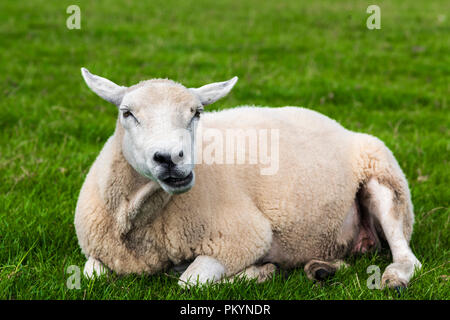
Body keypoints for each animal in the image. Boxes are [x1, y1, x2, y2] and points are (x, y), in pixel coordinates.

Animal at [74, 68, 422, 290]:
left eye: (196, 113)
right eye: (127, 113)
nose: (171, 158)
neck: (141, 218)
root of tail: (340, 126)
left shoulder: (241, 237)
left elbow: (191, 282)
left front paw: (259, 272)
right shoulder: (98, 250)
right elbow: (92, 276)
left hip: (385, 181)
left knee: (407, 257)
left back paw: (394, 278)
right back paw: (321, 268)